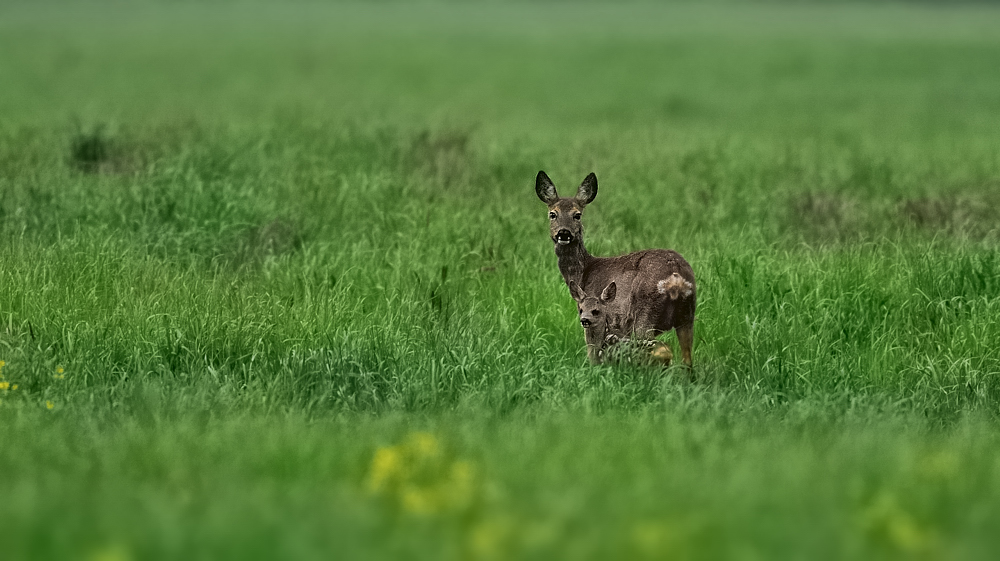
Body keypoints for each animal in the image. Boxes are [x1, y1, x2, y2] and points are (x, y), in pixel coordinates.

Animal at [540, 173, 696, 366]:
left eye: (577, 215)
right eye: (552, 214)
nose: (563, 233)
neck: (584, 272)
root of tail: (676, 278)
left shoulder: (592, 311)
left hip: (645, 316)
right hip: (687, 315)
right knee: (687, 360)